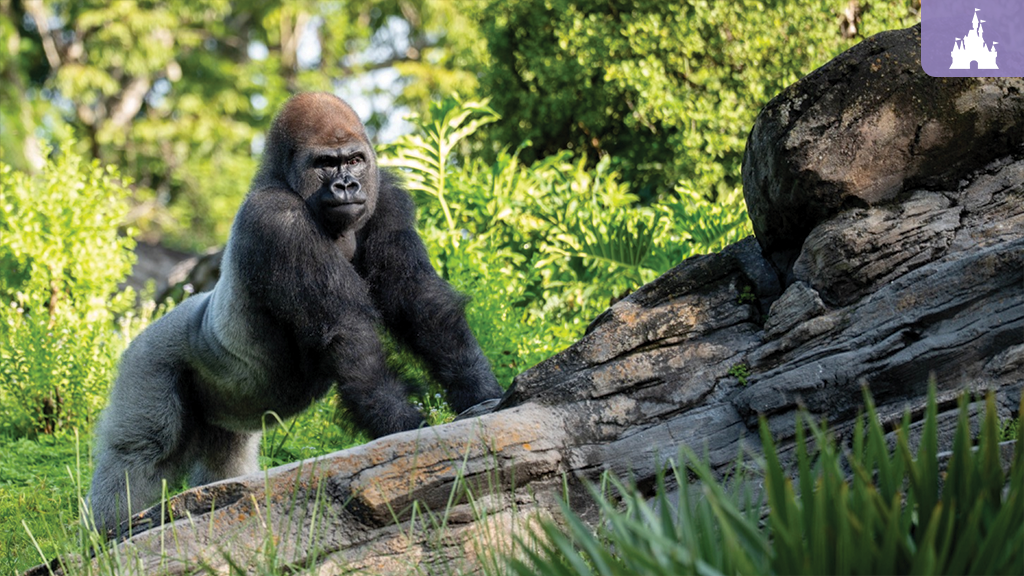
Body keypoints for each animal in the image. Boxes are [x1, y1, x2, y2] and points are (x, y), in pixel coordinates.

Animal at [86, 92, 503, 533]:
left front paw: (481, 392)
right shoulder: (277, 219)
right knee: (142, 450)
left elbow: (419, 300)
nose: (347, 185)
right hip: (147, 359)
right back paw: (109, 532)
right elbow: (348, 332)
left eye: (355, 160)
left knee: (224, 464)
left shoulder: (387, 197)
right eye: (325, 164)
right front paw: (404, 427)